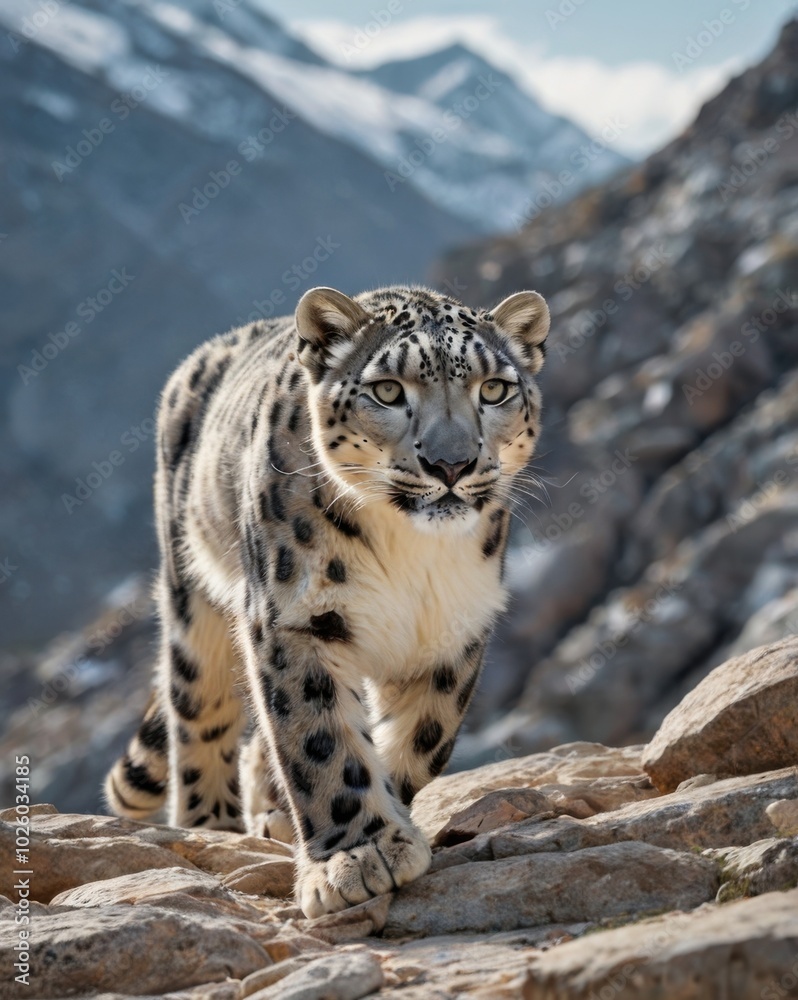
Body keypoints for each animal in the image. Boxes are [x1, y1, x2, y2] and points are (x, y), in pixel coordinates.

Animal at [104, 283, 549, 917]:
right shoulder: (295, 617)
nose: (451, 464)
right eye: (387, 390)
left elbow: (424, 736)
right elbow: (318, 737)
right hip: (191, 595)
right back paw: (211, 823)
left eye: (493, 389)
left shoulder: (453, 625)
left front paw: (386, 821)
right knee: (199, 706)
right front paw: (357, 856)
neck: (411, 552)